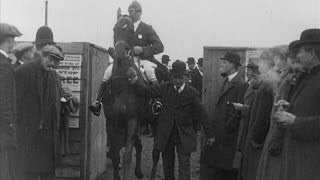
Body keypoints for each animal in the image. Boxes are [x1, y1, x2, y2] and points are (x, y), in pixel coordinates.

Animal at [102, 13, 147, 180]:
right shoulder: (112, 121)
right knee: (138, 144)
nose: (120, 54)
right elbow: (115, 154)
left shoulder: (133, 120)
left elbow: (127, 155)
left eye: (132, 31)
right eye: (115, 29)